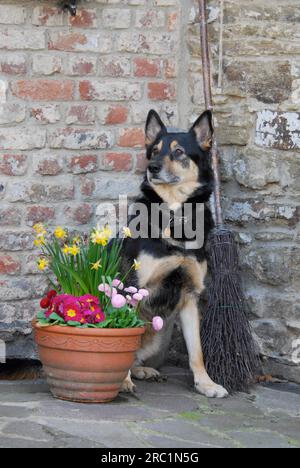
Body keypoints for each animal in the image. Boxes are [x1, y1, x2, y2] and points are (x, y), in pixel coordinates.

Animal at [120, 109, 229, 398]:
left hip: (162, 331)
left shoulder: (190, 295)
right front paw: (122, 382)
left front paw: (206, 384)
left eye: (179, 152)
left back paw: (144, 370)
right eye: (155, 151)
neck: (174, 213)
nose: (152, 167)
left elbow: (197, 351)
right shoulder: (132, 287)